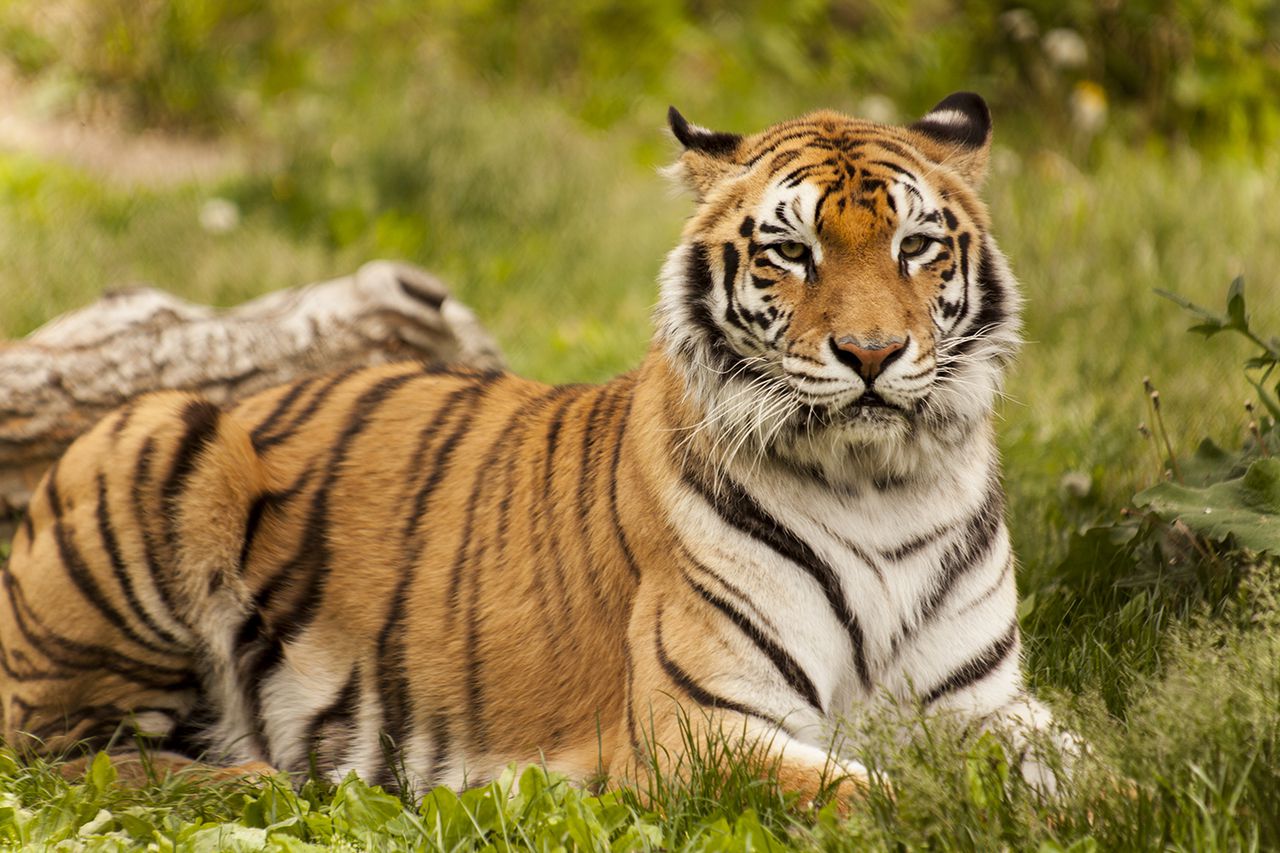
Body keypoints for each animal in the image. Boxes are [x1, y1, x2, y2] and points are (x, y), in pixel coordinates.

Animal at [0, 94, 1070, 804]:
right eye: (790, 253)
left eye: (916, 247)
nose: (872, 354)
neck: (881, 486)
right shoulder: (702, 728)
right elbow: (877, 792)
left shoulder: (988, 705)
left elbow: (1079, 763)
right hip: (165, 435)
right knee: (63, 756)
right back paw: (255, 780)